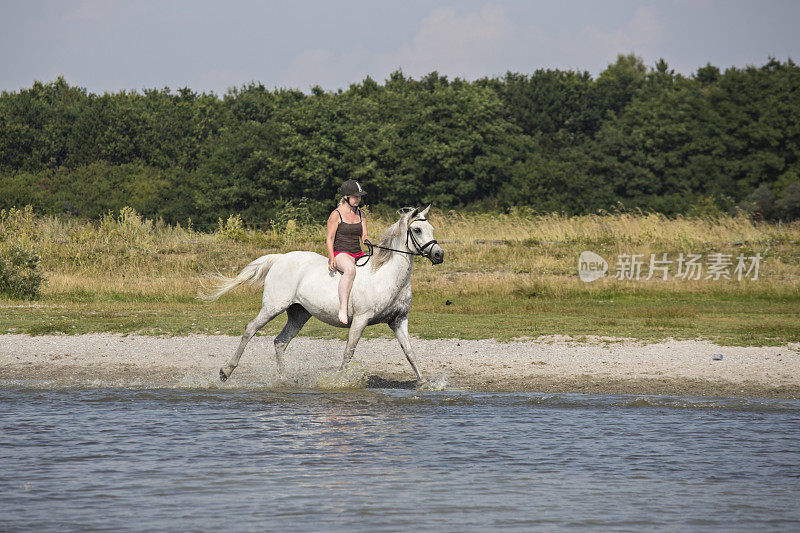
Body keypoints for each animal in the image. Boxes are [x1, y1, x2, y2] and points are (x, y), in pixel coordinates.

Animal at [202, 206, 444, 384]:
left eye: (431, 228)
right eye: (417, 230)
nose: (439, 255)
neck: (385, 275)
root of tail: (281, 257)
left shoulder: (398, 320)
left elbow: (410, 352)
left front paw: (424, 383)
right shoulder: (361, 319)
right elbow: (348, 352)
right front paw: (338, 381)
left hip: (299, 313)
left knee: (280, 342)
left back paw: (285, 380)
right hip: (273, 306)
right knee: (250, 329)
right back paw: (226, 372)